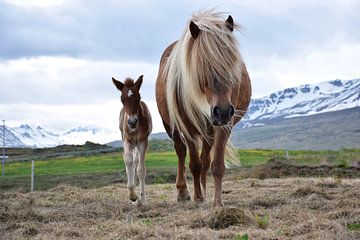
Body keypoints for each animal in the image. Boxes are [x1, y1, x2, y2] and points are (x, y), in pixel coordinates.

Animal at [156, 10, 252, 206]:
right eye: (203, 67)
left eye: (233, 66)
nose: (222, 111)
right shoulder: (188, 126)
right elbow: (194, 163)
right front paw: (198, 197)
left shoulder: (224, 126)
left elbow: (216, 165)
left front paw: (217, 202)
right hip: (171, 125)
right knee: (181, 151)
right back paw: (183, 192)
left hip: (209, 130)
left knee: (205, 159)